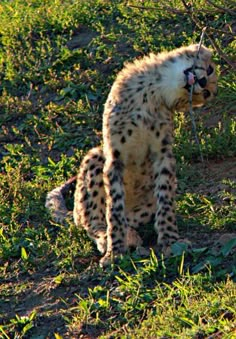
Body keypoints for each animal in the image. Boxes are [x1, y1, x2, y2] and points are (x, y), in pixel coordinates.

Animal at [46, 43, 218, 266]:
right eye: (210, 69)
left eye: (205, 94)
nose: (203, 82)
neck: (154, 89)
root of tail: (74, 214)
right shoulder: (114, 158)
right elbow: (114, 211)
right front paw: (115, 251)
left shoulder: (162, 155)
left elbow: (165, 202)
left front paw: (171, 241)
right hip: (96, 157)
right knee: (95, 225)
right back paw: (111, 238)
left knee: (131, 219)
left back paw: (133, 235)